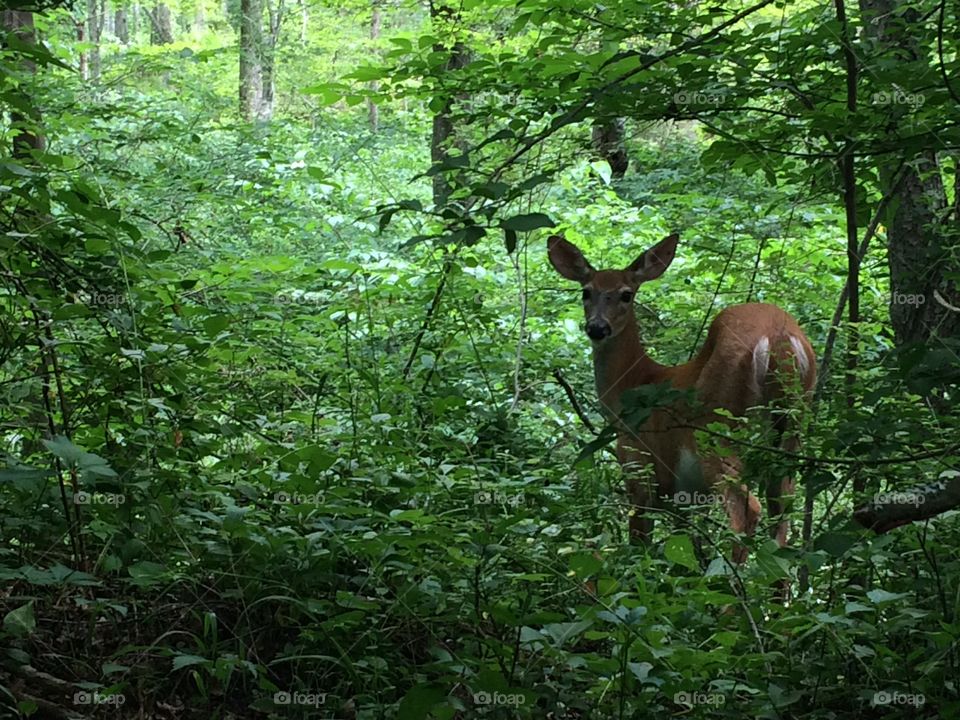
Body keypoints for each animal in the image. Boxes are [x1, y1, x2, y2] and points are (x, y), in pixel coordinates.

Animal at [548, 232, 816, 567]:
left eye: (626, 295)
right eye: (587, 291)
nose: (597, 327)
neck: (633, 386)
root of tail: (780, 340)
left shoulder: (639, 468)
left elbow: (640, 543)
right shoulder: (686, 496)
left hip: (717, 433)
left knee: (747, 511)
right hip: (791, 435)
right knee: (782, 512)